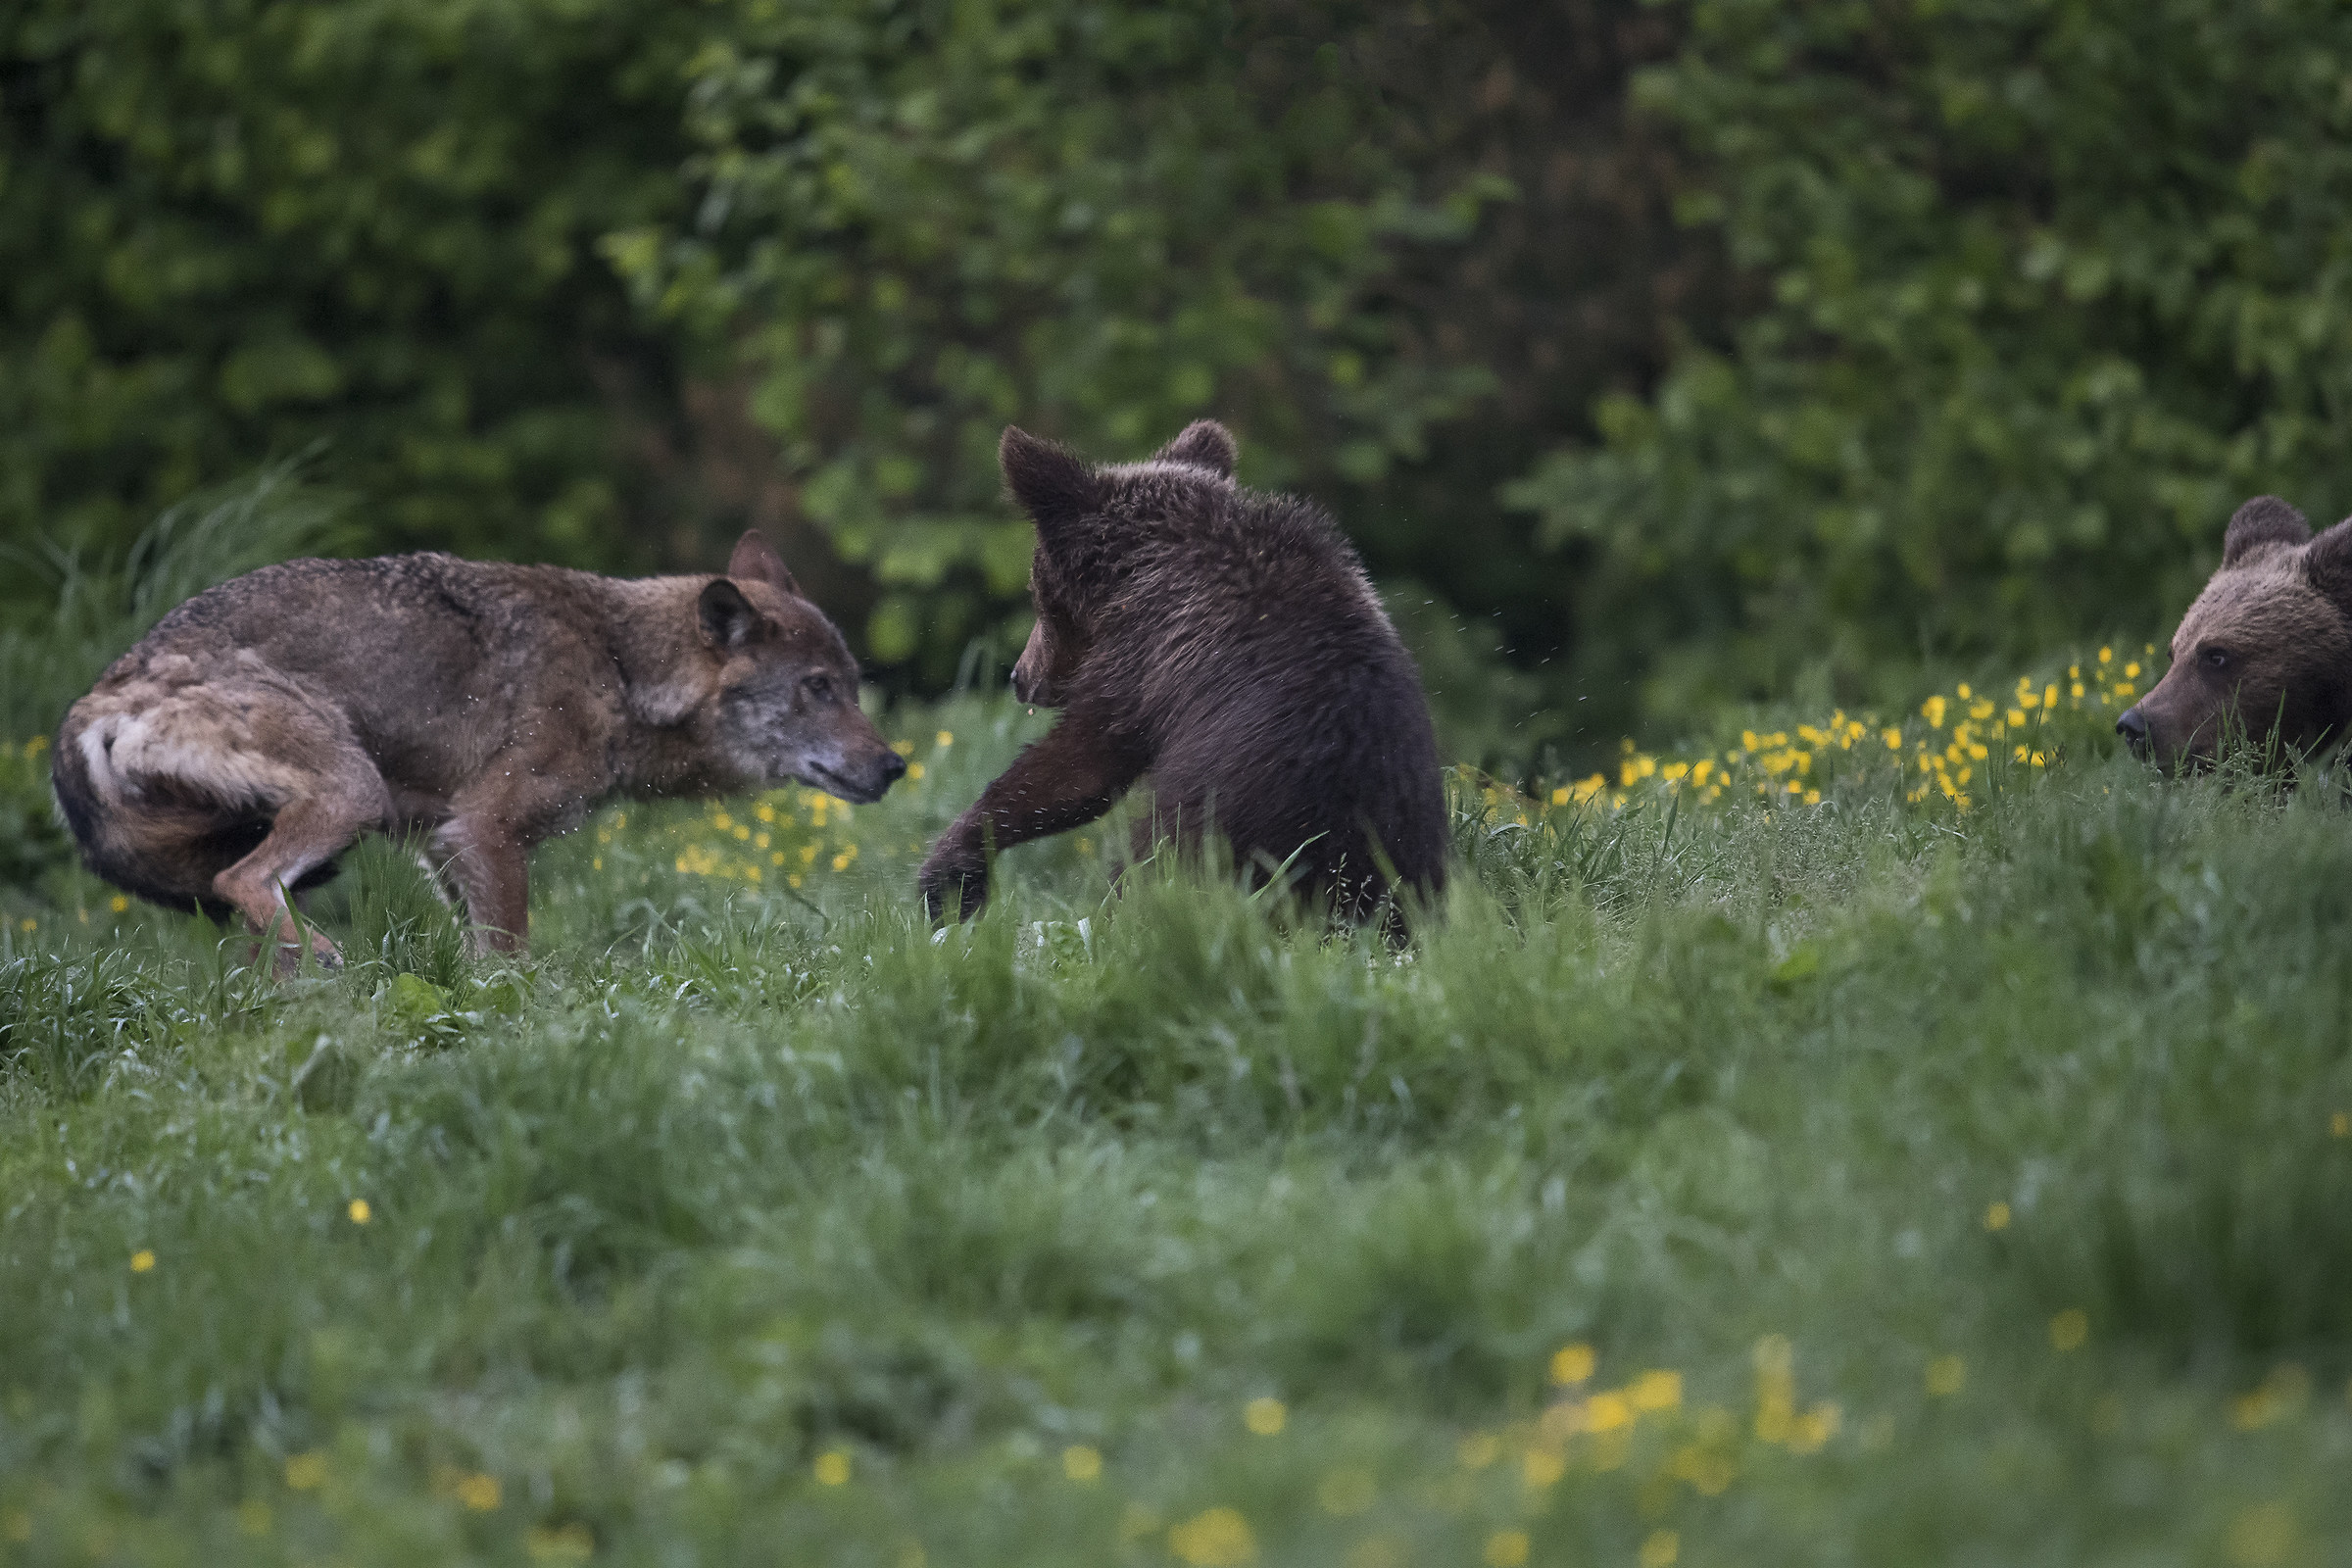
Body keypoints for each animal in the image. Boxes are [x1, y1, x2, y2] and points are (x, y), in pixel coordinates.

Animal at [53, 531, 904, 971]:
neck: (619, 666)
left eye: (854, 685)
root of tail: (100, 696)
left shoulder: (446, 843)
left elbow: (475, 956)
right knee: (243, 882)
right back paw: (325, 954)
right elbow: (508, 956)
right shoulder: (488, 832)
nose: (895, 765)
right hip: (351, 791)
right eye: (818, 688)